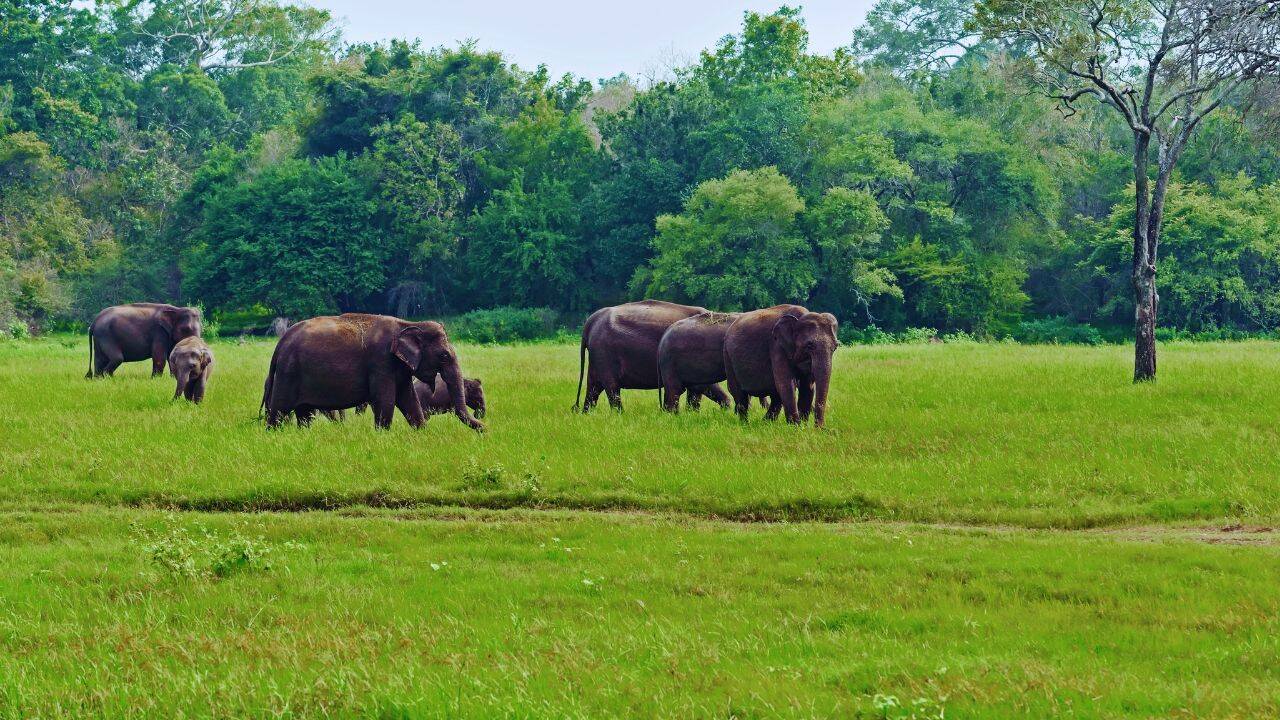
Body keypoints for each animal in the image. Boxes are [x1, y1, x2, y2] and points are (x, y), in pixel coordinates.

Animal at [261, 313, 484, 432]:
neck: (407, 324)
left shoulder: (399, 367)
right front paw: (383, 437)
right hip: (289, 373)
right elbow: (385, 399)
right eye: (443, 356)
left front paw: (422, 433)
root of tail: (280, 343)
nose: (485, 429)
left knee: (304, 413)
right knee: (280, 411)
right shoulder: (381, 362)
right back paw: (274, 437)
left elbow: (408, 399)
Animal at [575, 300, 731, 412]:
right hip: (604, 352)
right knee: (611, 387)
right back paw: (619, 415)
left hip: (597, 356)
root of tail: (590, 322)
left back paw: (587, 414)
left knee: (594, 386)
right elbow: (703, 386)